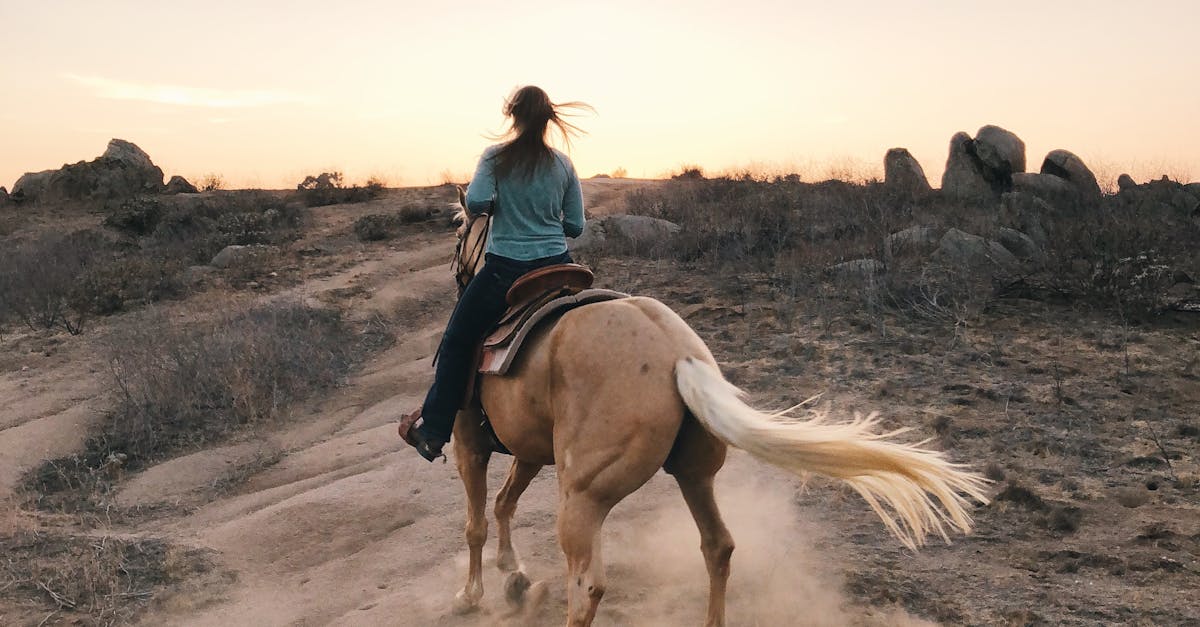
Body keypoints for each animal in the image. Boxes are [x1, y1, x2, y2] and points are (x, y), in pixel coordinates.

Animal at [439, 190, 984, 624]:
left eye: (460, 229)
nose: (458, 273)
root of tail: (676, 352)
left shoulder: (469, 442)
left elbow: (475, 522)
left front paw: (471, 593)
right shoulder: (528, 449)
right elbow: (504, 502)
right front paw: (514, 578)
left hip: (584, 496)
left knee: (587, 585)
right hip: (694, 473)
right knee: (718, 546)